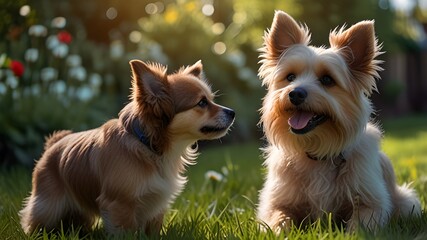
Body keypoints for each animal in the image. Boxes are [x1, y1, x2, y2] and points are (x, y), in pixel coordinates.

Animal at [20, 60, 236, 234]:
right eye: (202, 103)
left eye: (211, 100)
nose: (232, 112)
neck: (150, 147)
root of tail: (54, 144)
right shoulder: (119, 205)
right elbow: (127, 232)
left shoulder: (156, 205)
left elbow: (153, 230)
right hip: (48, 206)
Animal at [258, 10, 422, 232]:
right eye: (290, 77)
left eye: (327, 80)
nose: (295, 93)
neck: (316, 149)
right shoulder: (276, 203)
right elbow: (278, 220)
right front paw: (280, 231)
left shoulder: (372, 204)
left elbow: (359, 225)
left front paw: (352, 233)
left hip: (406, 202)